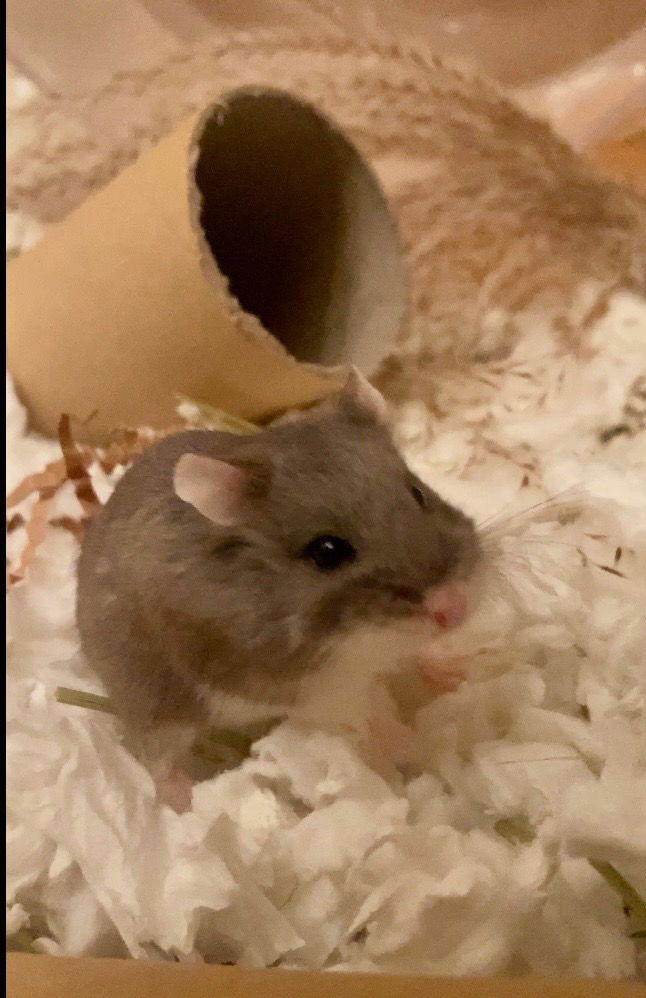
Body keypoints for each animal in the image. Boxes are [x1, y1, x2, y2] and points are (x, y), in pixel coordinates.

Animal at [76, 371, 480, 805]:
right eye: (327, 551)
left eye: (418, 493)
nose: (455, 607)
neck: (361, 640)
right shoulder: (309, 688)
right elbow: (363, 709)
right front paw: (409, 742)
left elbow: (413, 657)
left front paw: (462, 669)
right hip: (157, 703)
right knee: (154, 756)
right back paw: (184, 800)